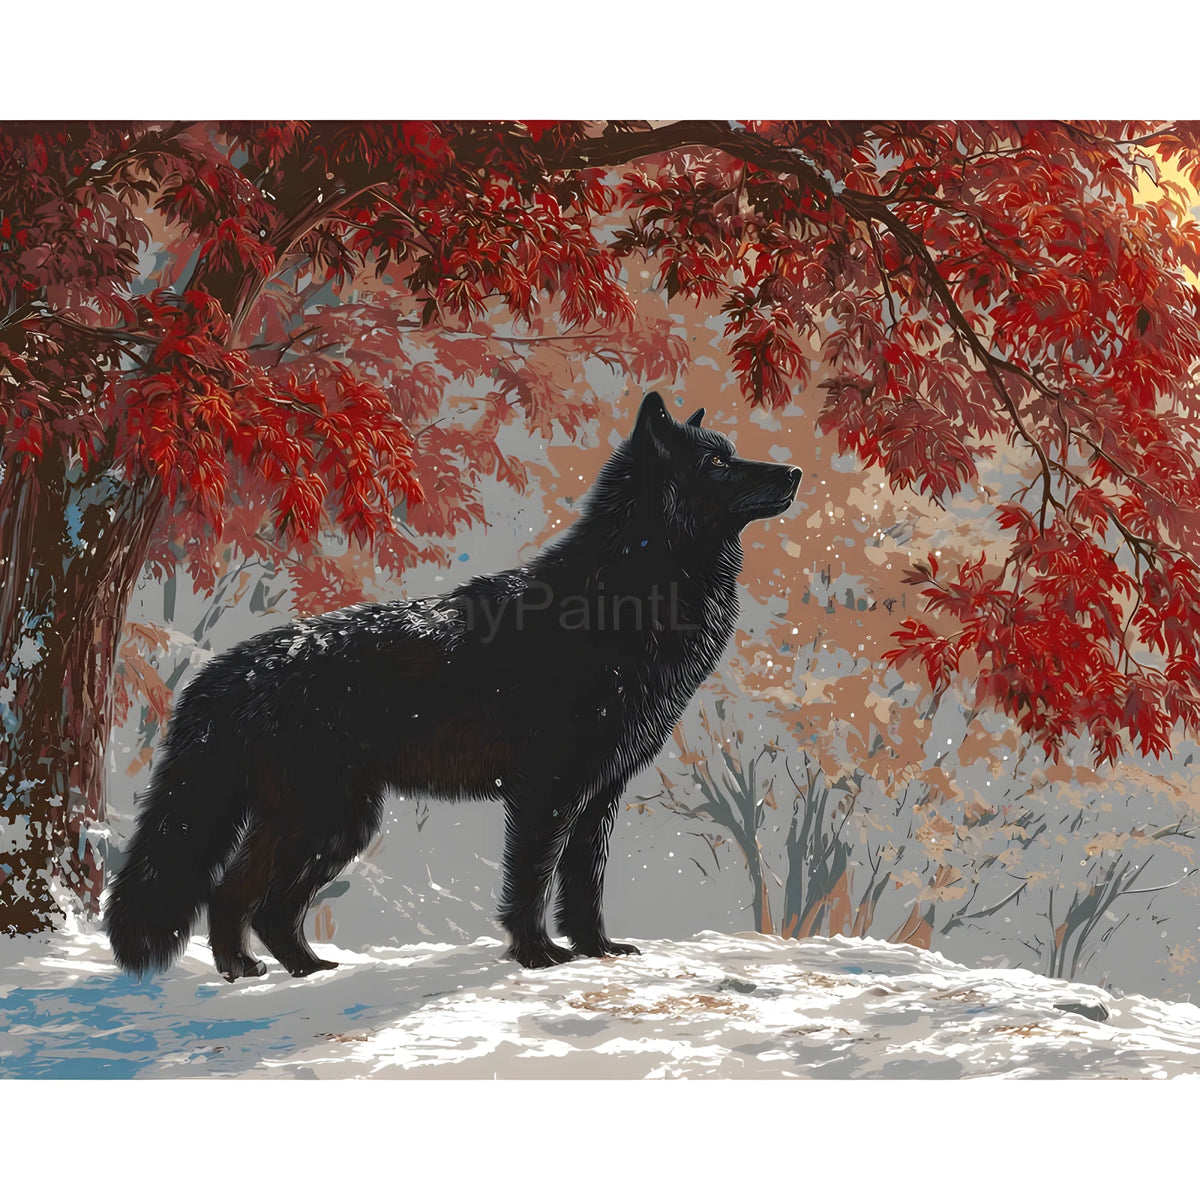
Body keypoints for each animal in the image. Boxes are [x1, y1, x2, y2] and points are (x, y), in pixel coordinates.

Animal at [105, 391, 801, 980]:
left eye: (731, 451)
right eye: (716, 462)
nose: (794, 472)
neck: (623, 596)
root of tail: (228, 667)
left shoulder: (599, 797)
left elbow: (585, 888)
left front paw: (597, 950)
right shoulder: (547, 792)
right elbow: (531, 882)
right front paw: (538, 955)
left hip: (333, 823)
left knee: (253, 899)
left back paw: (293, 969)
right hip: (323, 819)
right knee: (237, 892)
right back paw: (251, 972)